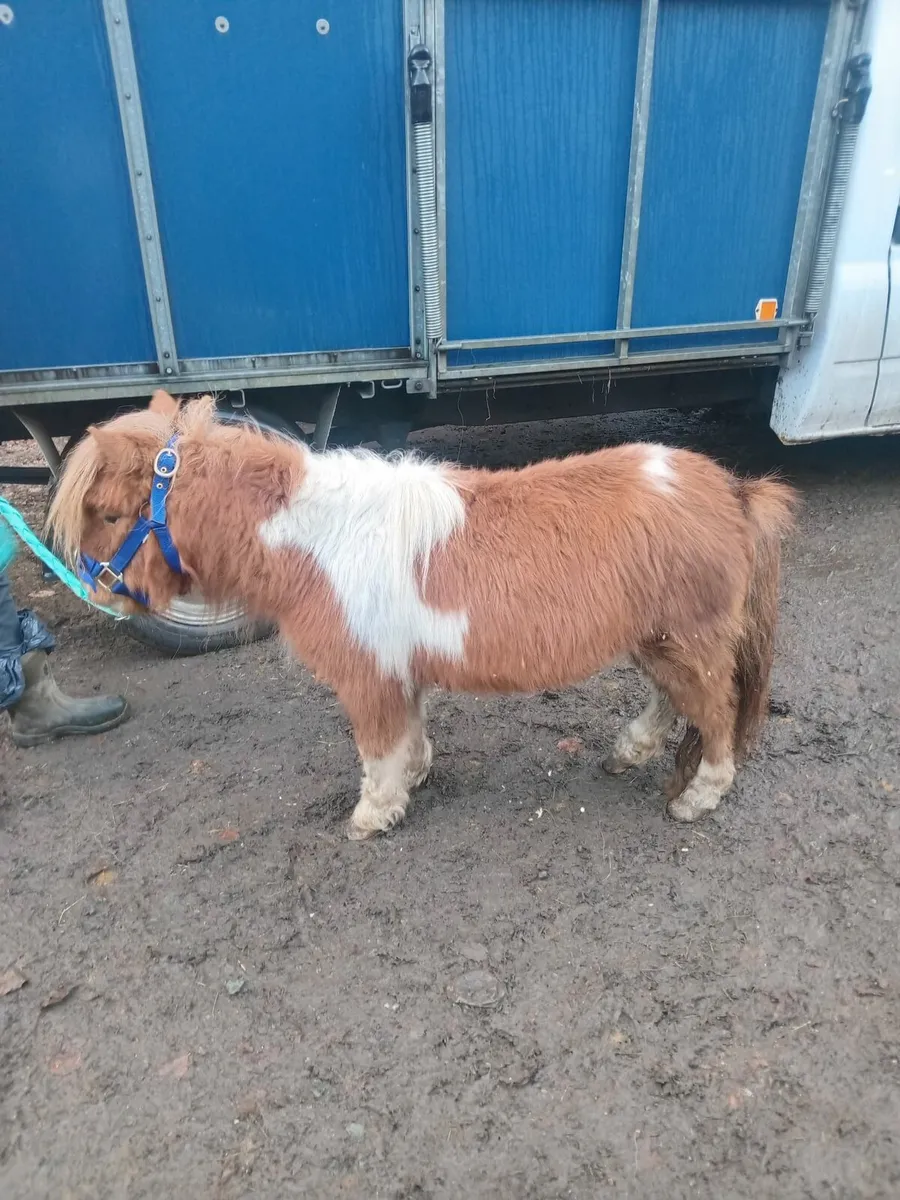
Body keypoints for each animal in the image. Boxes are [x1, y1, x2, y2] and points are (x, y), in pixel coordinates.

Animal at [48, 390, 797, 840]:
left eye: (110, 514)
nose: (98, 590)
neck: (319, 540)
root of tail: (733, 491)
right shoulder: (396, 671)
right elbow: (407, 735)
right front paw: (412, 779)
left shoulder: (368, 676)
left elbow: (378, 748)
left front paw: (373, 814)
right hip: (661, 640)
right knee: (675, 700)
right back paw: (628, 752)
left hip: (687, 640)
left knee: (717, 712)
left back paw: (698, 797)